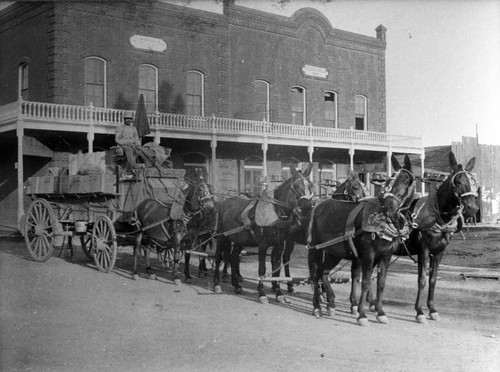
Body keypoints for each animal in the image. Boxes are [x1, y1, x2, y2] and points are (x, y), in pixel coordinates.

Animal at [213, 163, 314, 302]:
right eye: (297, 186)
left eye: (310, 185)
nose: (307, 207)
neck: (276, 213)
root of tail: (223, 203)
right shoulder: (263, 245)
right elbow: (262, 269)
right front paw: (262, 294)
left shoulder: (278, 246)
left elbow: (276, 270)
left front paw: (279, 293)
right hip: (222, 237)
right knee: (218, 257)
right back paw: (217, 284)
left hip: (239, 239)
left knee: (234, 257)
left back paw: (236, 284)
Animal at [306, 154, 416, 326]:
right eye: (390, 179)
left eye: (406, 180)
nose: (389, 207)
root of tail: (318, 205)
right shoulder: (368, 255)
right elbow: (364, 282)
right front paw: (362, 314)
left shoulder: (385, 256)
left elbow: (381, 283)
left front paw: (380, 312)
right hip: (315, 249)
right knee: (315, 273)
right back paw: (317, 306)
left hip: (333, 252)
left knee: (323, 272)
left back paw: (330, 303)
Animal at [364, 151, 480, 322]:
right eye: (458, 181)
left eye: (472, 181)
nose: (473, 208)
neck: (437, 216)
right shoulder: (423, 251)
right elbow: (422, 280)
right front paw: (419, 311)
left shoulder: (438, 253)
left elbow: (433, 280)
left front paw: (431, 309)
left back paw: (371, 302)